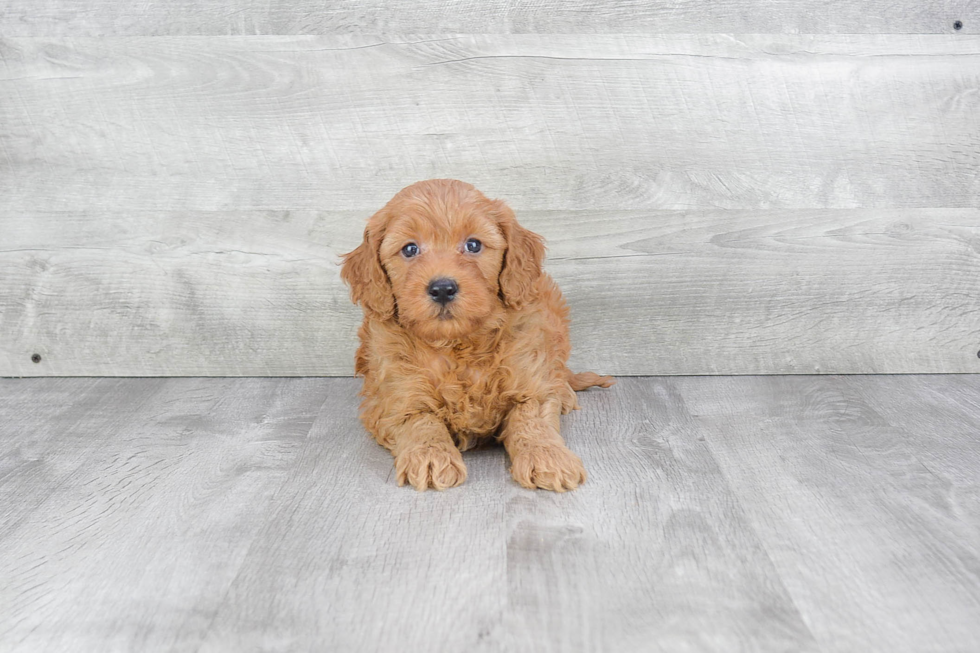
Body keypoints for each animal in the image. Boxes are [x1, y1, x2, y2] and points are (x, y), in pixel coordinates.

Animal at [342, 178, 612, 488]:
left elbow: (532, 418)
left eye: (473, 245)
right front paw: (431, 457)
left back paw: (564, 392)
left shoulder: (529, 380)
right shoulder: (394, 397)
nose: (442, 288)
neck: (458, 343)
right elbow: (420, 420)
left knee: (556, 370)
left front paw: (548, 457)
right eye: (409, 249)